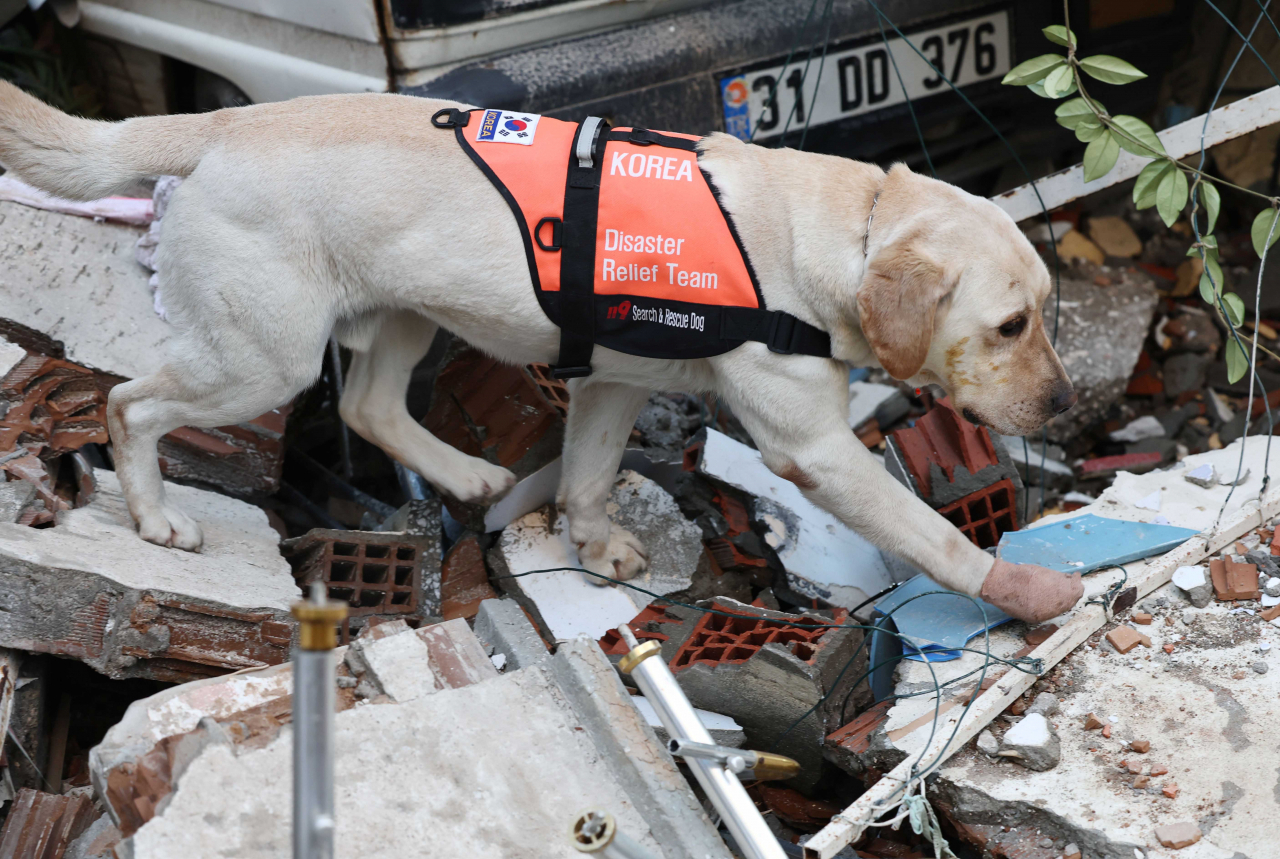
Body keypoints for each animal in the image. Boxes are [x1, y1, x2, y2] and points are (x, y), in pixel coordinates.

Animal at [0, 83, 1080, 624]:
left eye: (1042, 312)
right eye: (1008, 325)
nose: (1063, 410)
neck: (844, 232)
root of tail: (223, 121)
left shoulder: (609, 379)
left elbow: (591, 476)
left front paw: (590, 542)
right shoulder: (812, 451)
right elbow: (931, 535)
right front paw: (1023, 592)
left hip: (401, 314)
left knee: (366, 407)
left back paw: (470, 477)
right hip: (259, 359)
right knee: (132, 403)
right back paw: (155, 517)